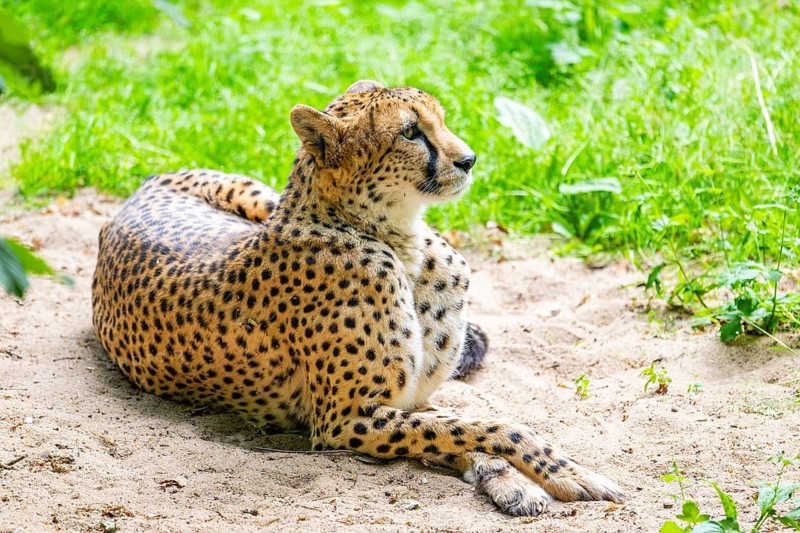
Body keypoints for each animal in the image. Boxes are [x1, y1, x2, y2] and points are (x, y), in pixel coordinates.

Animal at [91, 80, 623, 516]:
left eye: (441, 119)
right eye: (411, 132)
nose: (469, 159)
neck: (403, 243)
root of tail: (142, 186)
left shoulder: (405, 402)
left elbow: (465, 428)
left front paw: (516, 482)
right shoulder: (346, 420)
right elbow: (489, 427)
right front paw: (566, 474)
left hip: (256, 195)